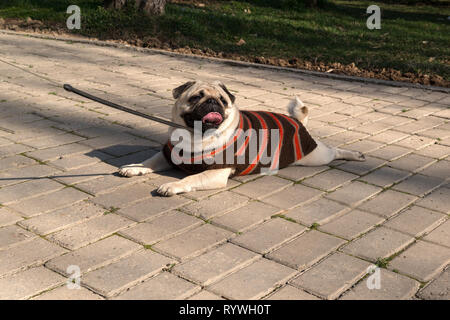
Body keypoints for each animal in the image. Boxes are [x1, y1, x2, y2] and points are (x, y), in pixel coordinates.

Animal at [118, 80, 364, 195]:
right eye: (196, 97)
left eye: (222, 101)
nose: (212, 102)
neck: (194, 137)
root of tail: (296, 121)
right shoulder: (167, 155)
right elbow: (148, 162)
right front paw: (134, 167)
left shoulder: (216, 174)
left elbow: (189, 179)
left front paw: (171, 185)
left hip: (315, 156)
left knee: (334, 151)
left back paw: (355, 155)